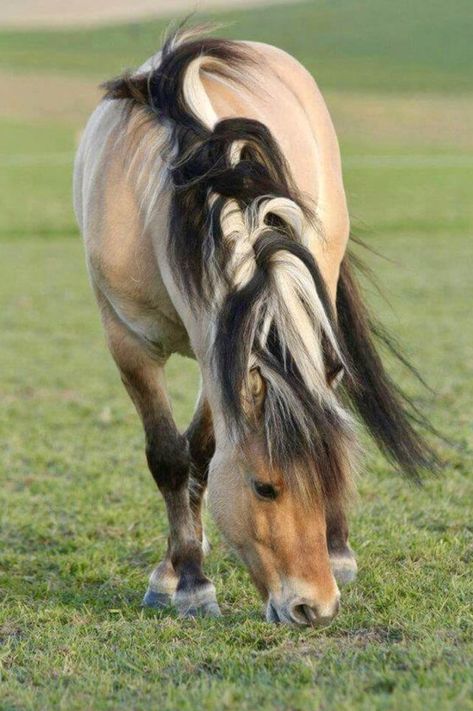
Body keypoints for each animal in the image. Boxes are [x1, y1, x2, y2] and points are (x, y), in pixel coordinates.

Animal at [73, 26, 436, 628]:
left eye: (329, 477)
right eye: (264, 488)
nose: (314, 608)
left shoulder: (219, 343)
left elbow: (201, 452)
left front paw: (189, 576)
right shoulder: (129, 342)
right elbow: (170, 457)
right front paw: (181, 578)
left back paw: (338, 551)